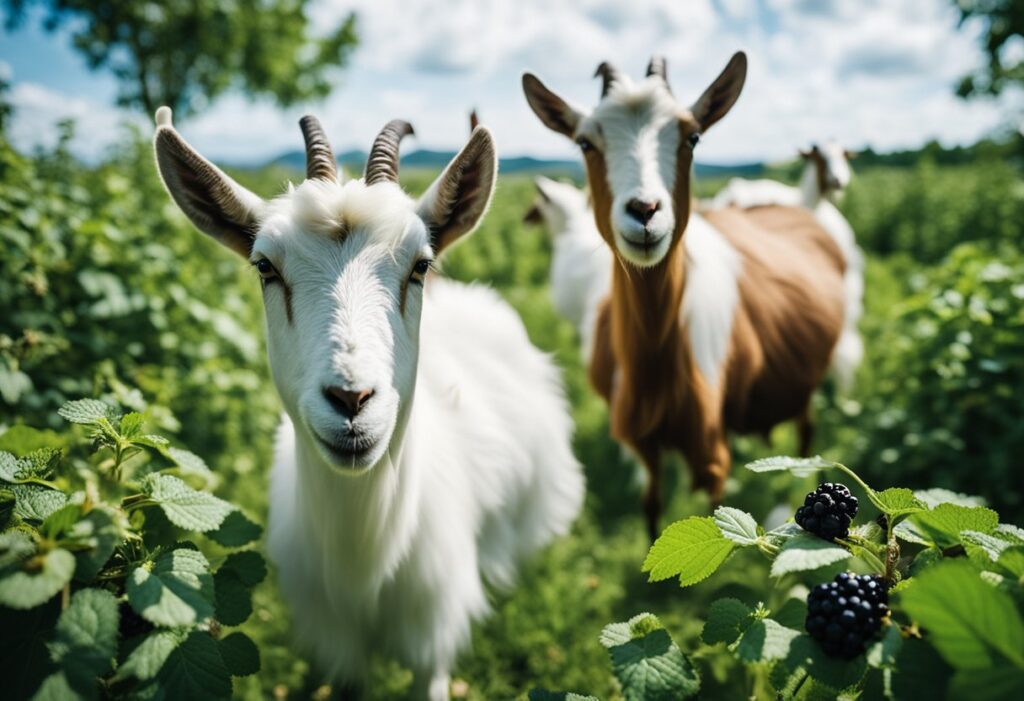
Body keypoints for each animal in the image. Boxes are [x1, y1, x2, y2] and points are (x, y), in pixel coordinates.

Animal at [153, 109, 584, 699]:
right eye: (265, 267)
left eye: (420, 265)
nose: (351, 399)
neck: (366, 559)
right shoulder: (340, 649)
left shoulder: (432, 638)